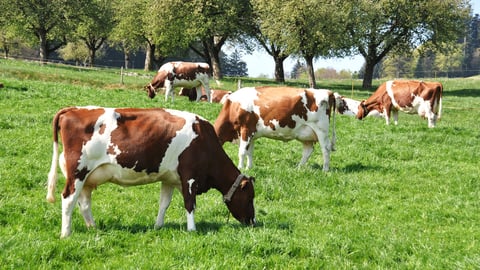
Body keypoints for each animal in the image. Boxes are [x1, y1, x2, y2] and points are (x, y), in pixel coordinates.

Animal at [46, 106, 255, 237]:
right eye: (250, 197)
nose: (253, 222)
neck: (205, 141)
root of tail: (73, 109)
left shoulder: (170, 178)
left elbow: (164, 203)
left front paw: (158, 226)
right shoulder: (189, 177)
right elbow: (190, 204)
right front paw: (192, 229)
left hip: (88, 177)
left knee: (84, 202)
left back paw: (93, 227)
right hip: (78, 172)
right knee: (68, 199)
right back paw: (66, 233)